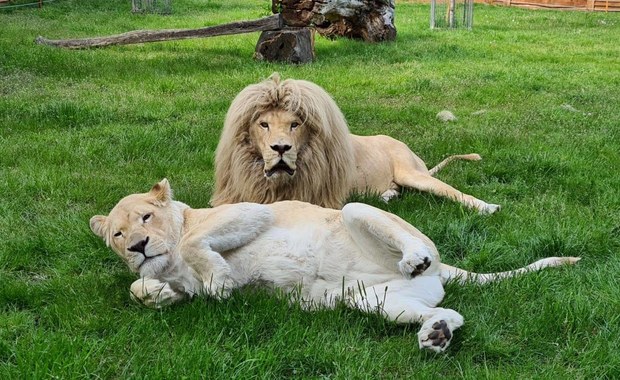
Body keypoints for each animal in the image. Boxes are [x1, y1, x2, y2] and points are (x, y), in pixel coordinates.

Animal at [89, 178, 580, 354]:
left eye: (146, 218)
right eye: (117, 235)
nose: (139, 247)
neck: (169, 262)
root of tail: (442, 270)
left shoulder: (251, 210)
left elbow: (195, 242)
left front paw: (220, 280)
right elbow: (140, 289)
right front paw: (157, 291)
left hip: (355, 209)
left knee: (413, 243)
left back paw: (415, 259)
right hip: (372, 300)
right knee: (450, 311)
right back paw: (436, 335)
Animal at [211, 73, 502, 214]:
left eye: (295, 124)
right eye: (264, 124)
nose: (281, 148)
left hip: (411, 173)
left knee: (454, 192)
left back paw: (488, 207)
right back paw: (386, 195)